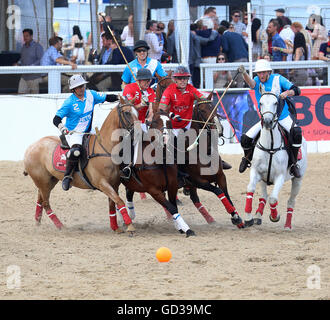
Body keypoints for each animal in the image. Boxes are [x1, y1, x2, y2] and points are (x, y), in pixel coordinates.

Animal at [23, 96, 141, 234]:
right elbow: (119, 201)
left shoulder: (114, 184)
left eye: (137, 111)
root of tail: (31, 147)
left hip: (49, 180)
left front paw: (115, 227)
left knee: (40, 200)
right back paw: (61, 226)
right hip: (43, 181)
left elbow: (113, 204)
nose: (139, 131)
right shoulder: (102, 183)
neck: (105, 147)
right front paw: (130, 225)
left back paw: (38, 222)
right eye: (127, 112)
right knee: (46, 203)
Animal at [244, 89, 308, 229]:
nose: (267, 122)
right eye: (260, 103)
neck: (270, 146)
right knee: (263, 195)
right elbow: (250, 189)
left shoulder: (280, 176)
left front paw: (275, 216)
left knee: (291, 201)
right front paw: (248, 218)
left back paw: (288, 225)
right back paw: (258, 215)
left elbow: (273, 198)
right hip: (263, 179)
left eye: (276, 102)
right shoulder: (256, 171)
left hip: (298, 180)